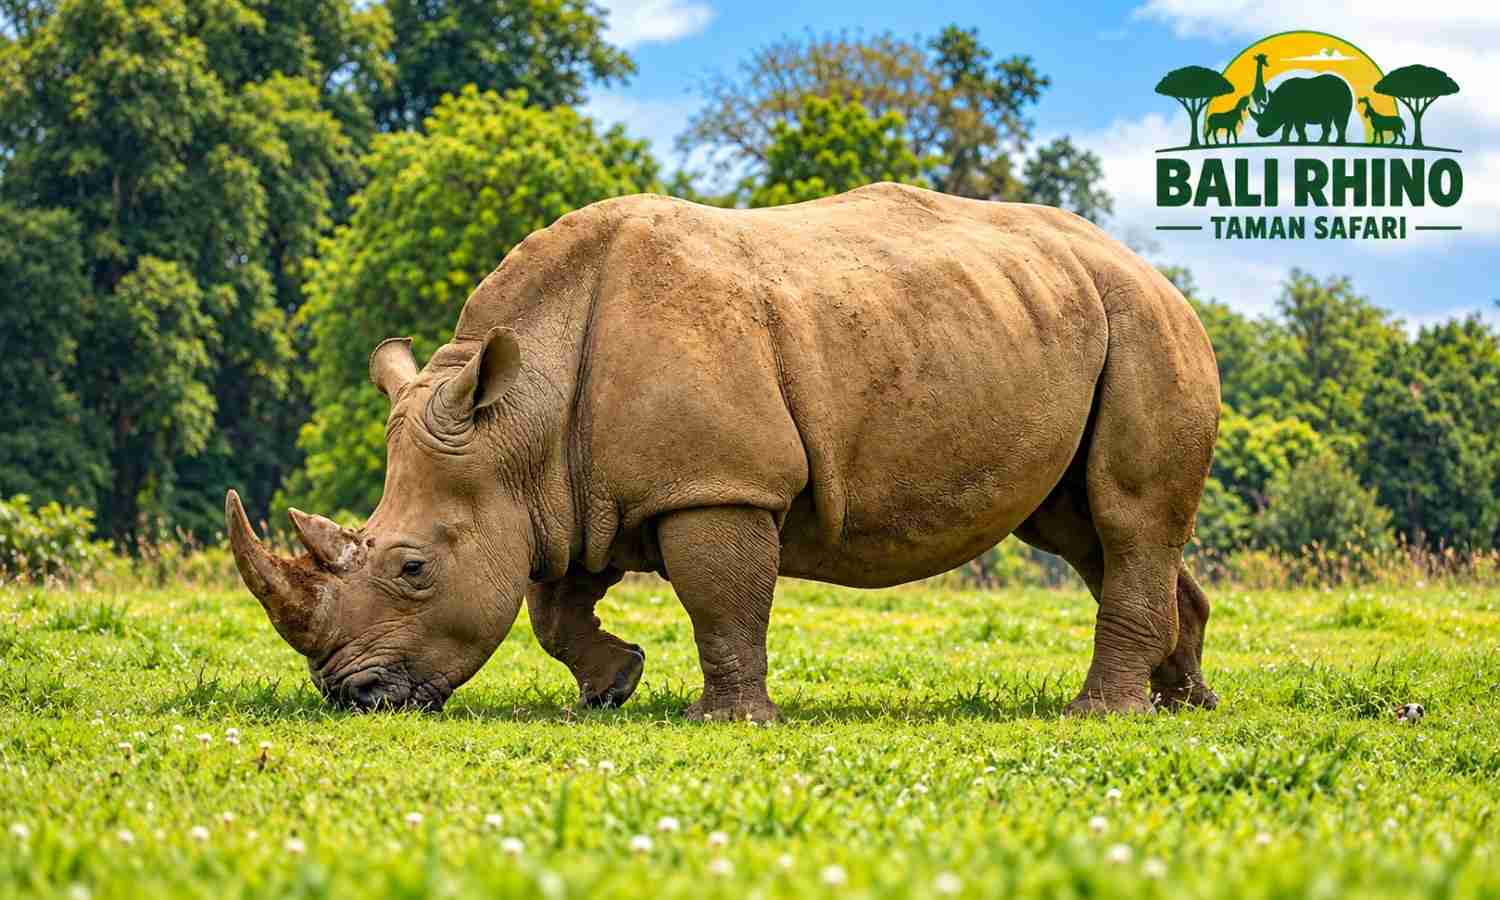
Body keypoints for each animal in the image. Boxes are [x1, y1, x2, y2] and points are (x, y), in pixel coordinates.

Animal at [226, 183, 1222, 721]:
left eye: (413, 569)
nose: (351, 696)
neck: (519, 419)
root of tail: (1152, 270)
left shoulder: (715, 483)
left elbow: (721, 599)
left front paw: (729, 719)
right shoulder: (571, 493)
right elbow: (552, 607)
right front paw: (614, 686)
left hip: (1144, 324)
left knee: (1126, 518)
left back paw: (1099, 712)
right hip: (1061, 317)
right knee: (1085, 531)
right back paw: (1181, 702)